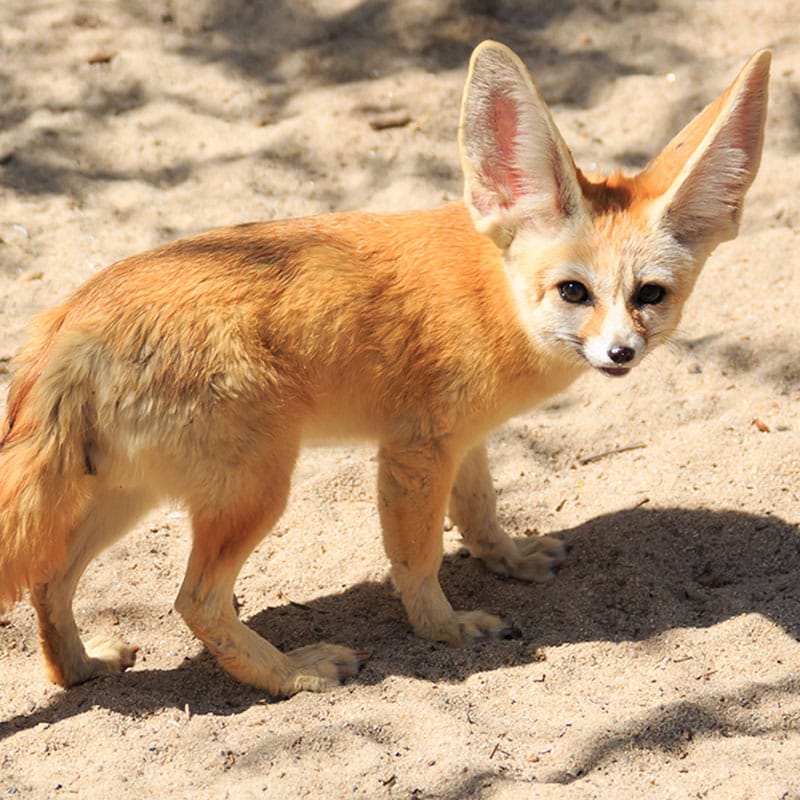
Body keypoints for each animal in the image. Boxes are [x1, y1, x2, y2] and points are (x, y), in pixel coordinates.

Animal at [0, 42, 768, 692]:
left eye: (650, 296)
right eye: (574, 292)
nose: (619, 353)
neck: (491, 293)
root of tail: (74, 318)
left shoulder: (465, 440)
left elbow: (481, 512)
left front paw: (509, 560)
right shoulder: (414, 451)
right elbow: (417, 559)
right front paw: (446, 630)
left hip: (125, 496)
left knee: (47, 581)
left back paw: (79, 669)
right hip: (254, 491)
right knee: (195, 602)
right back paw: (292, 674)